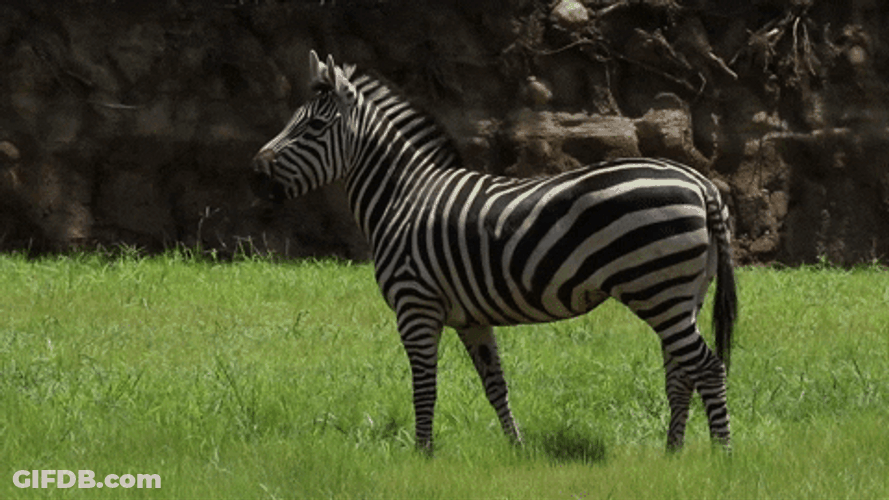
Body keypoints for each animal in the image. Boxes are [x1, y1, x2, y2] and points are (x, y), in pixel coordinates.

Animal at [252, 51, 737, 453]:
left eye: (313, 127)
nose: (255, 173)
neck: (402, 196)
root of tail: (700, 182)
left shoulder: (415, 306)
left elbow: (424, 386)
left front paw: (422, 454)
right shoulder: (471, 318)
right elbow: (495, 384)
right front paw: (516, 448)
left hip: (658, 288)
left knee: (708, 368)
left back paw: (722, 455)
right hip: (682, 294)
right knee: (682, 373)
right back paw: (672, 453)